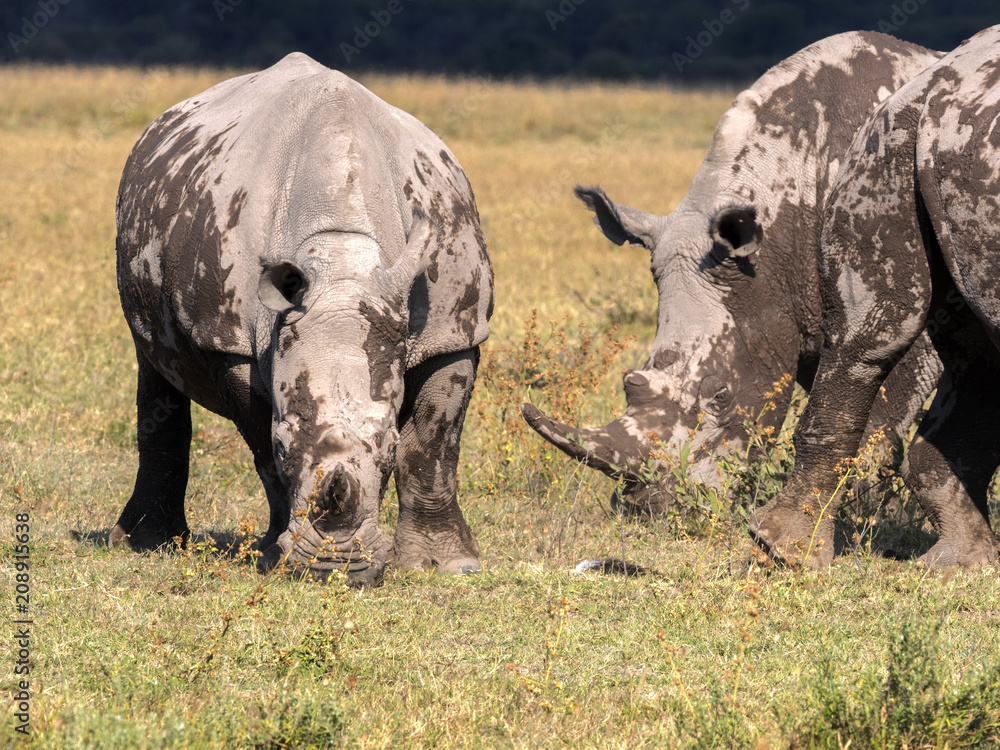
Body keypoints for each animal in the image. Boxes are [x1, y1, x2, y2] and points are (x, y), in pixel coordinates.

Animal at [109, 53, 494, 586]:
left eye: (388, 447)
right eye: (284, 441)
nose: (335, 568)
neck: (341, 258)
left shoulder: (452, 331)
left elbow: (434, 446)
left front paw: (450, 565)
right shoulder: (232, 342)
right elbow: (261, 449)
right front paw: (273, 557)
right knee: (154, 366)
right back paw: (145, 544)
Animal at [522, 32, 944, 517]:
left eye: (720, 396)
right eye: (630, 381)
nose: (649, 509)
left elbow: (878, 421)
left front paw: (860, 511)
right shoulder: (794, 316)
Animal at [751, 26, 1000, 569]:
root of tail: (924, 79)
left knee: (980, 353)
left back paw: (963, 566)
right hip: (891, 143)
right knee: (876, 335)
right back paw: (789, 555)